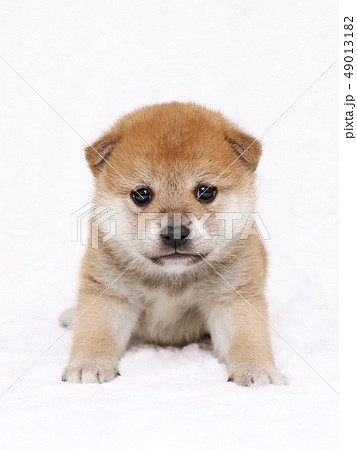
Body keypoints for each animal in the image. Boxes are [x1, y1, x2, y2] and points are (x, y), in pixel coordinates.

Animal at [59, 102, 286, 386]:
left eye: (206, 191)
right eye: (141, 194)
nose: (176, 233)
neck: (171, 279)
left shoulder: (232, 298)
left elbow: (248, 337)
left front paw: (257, 370)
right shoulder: (110, 294)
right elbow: (95, 332)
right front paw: (88, 365)